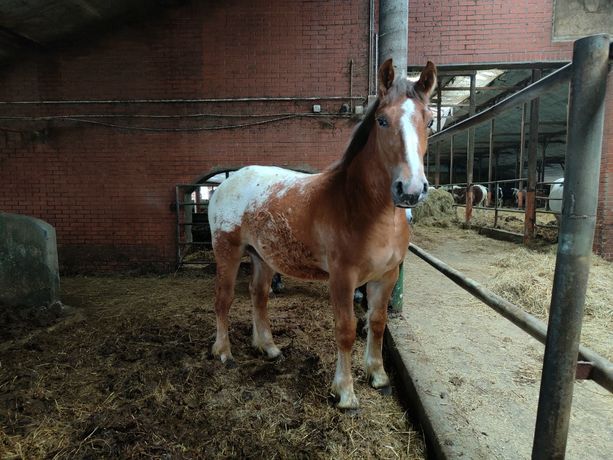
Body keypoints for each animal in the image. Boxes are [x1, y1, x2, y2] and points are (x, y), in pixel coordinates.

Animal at [207, 58, 436, 410]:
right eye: (382, 120)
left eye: (430, 121)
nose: (410, 190)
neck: (360, 206)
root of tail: (226, 183)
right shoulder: (342, 278)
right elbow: (346, 330)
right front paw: (345, 392)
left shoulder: (386, 276)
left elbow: (377, 322)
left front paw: (378, 377)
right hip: (227, 251)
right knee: (224, 298)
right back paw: (223, 353)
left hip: (262, 257)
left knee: (259, 295)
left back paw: (268, 347)